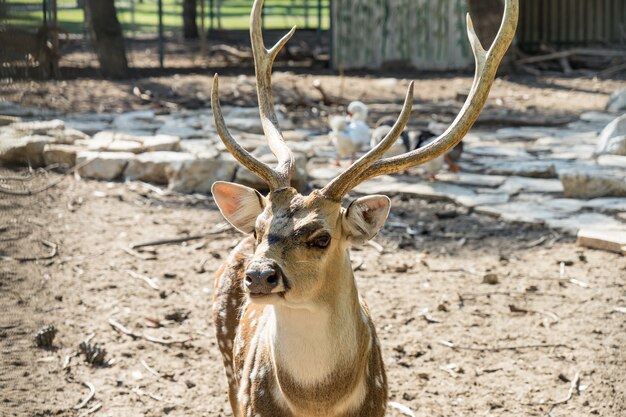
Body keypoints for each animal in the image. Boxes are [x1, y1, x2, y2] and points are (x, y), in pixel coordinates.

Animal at [210, 1, 516, 414]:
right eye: (259, 228)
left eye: (322, 238)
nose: (259, 275)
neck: (317, 403)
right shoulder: (250, 402)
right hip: (228, 364)